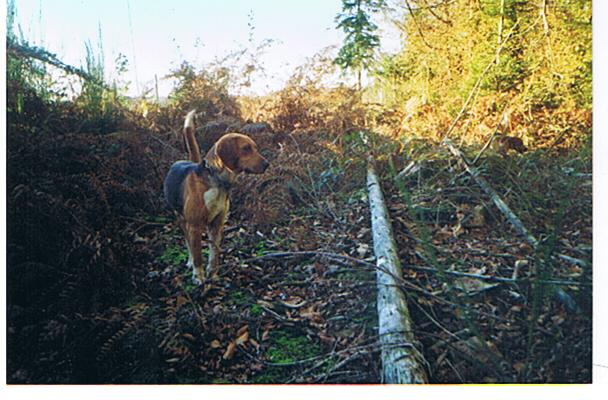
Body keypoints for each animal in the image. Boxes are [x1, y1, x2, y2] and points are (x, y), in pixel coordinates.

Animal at [164, 110, 268, 284]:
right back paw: (190, 262)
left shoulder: (217, 224)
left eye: (255, 148)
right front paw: (198, 276)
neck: (217, 182)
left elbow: (214, 254)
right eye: (246, 148)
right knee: (188, 243)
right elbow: (198, 254)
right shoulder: (194, 226)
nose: (267, 164)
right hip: (181, 219)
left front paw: (212, 274)